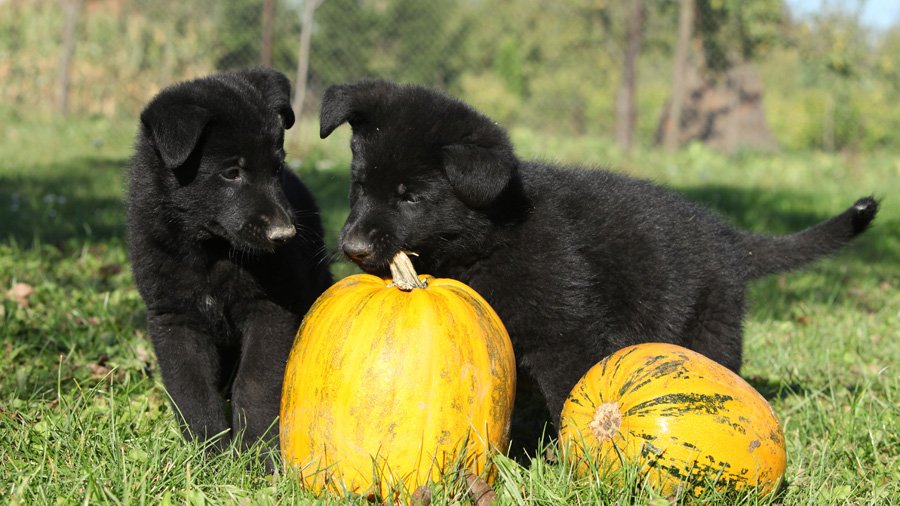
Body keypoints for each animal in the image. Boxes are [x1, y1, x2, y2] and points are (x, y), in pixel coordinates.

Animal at [128, 68, 332, 454]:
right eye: (231, 173)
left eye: (277, 169)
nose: (284, 235)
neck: (211, 252)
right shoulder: (174, 317)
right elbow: (191, 387)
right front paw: (208, 450)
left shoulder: (270, 309)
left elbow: (254, 382)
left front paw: (255, 450)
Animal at [318, 79, 880, 442]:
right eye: (359, 186)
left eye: (412, 197)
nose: (353, 247)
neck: (493, 238)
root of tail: (728, 238)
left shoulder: (568, 337)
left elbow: (571, 397)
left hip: (710, 330)